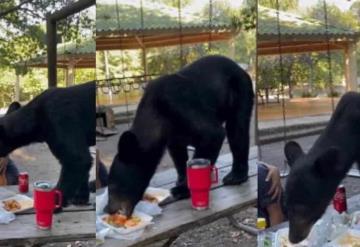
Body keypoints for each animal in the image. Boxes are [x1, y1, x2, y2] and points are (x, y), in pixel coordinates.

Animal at [105, 55, 255, 216]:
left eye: (112, 186)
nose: (108, 209)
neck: (157, 114)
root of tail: (239, 67)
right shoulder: (173, 134)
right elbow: (178, 154)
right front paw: (181, 180)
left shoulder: (179, 104)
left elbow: (213, 134)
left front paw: (182, 189)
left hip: (241, 89)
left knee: (237, 128)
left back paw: (236, 176)